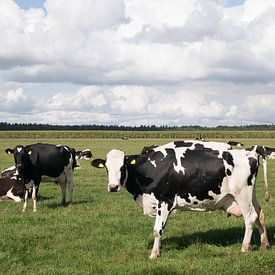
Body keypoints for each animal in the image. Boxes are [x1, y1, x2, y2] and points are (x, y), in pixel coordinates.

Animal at [92, 141, 270, 260]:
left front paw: (154, 254)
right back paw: (264, 244)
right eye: (107, 167)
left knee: (250, 218)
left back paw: (245, 248)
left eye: (122, 167)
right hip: (249, 195)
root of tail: (249, 153)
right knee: (260, 214)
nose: (113, 187)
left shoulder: (165, 201)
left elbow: (157, 230)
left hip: (242, 194)